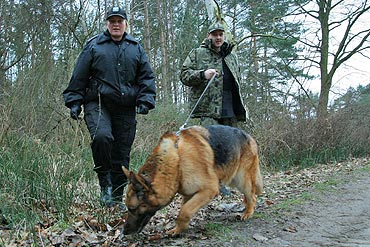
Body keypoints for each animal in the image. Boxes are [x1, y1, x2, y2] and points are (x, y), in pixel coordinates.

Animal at [122, 125, 264, 235]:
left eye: (132, 209)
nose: (124, 232)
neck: (177, 162)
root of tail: (249, 136)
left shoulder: (209, 190)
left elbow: (184, 211)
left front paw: (180, 229)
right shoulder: (189, 193)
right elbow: (184, 209)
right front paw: (179, 229)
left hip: (242, 180)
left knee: (252, 196)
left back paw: (248, 212)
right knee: (249, 196)